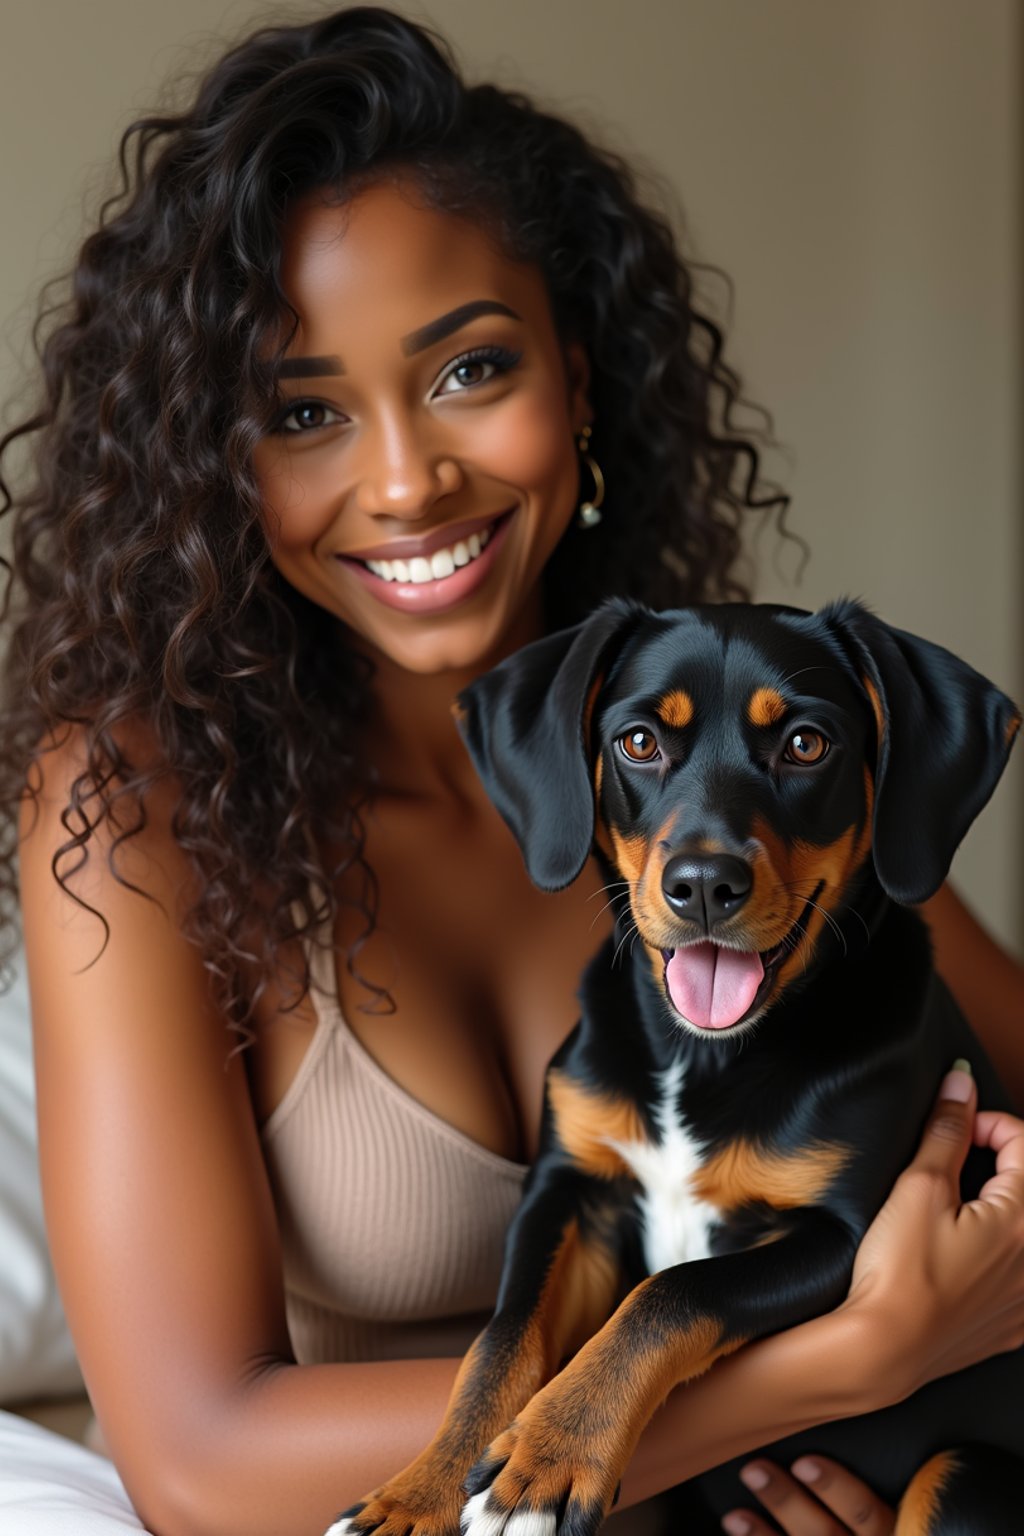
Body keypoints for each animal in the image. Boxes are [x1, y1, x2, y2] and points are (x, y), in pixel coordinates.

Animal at [333, 599, 1019, 1536]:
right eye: (639, 742)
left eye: (807, 743)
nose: (703, 885)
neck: (703, 1056)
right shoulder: (572, 1192)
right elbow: (500, 1340)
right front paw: (417, 1495)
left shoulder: (843, 1240)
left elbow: (668, 1297)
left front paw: (547, 1463)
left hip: (961, 1481)